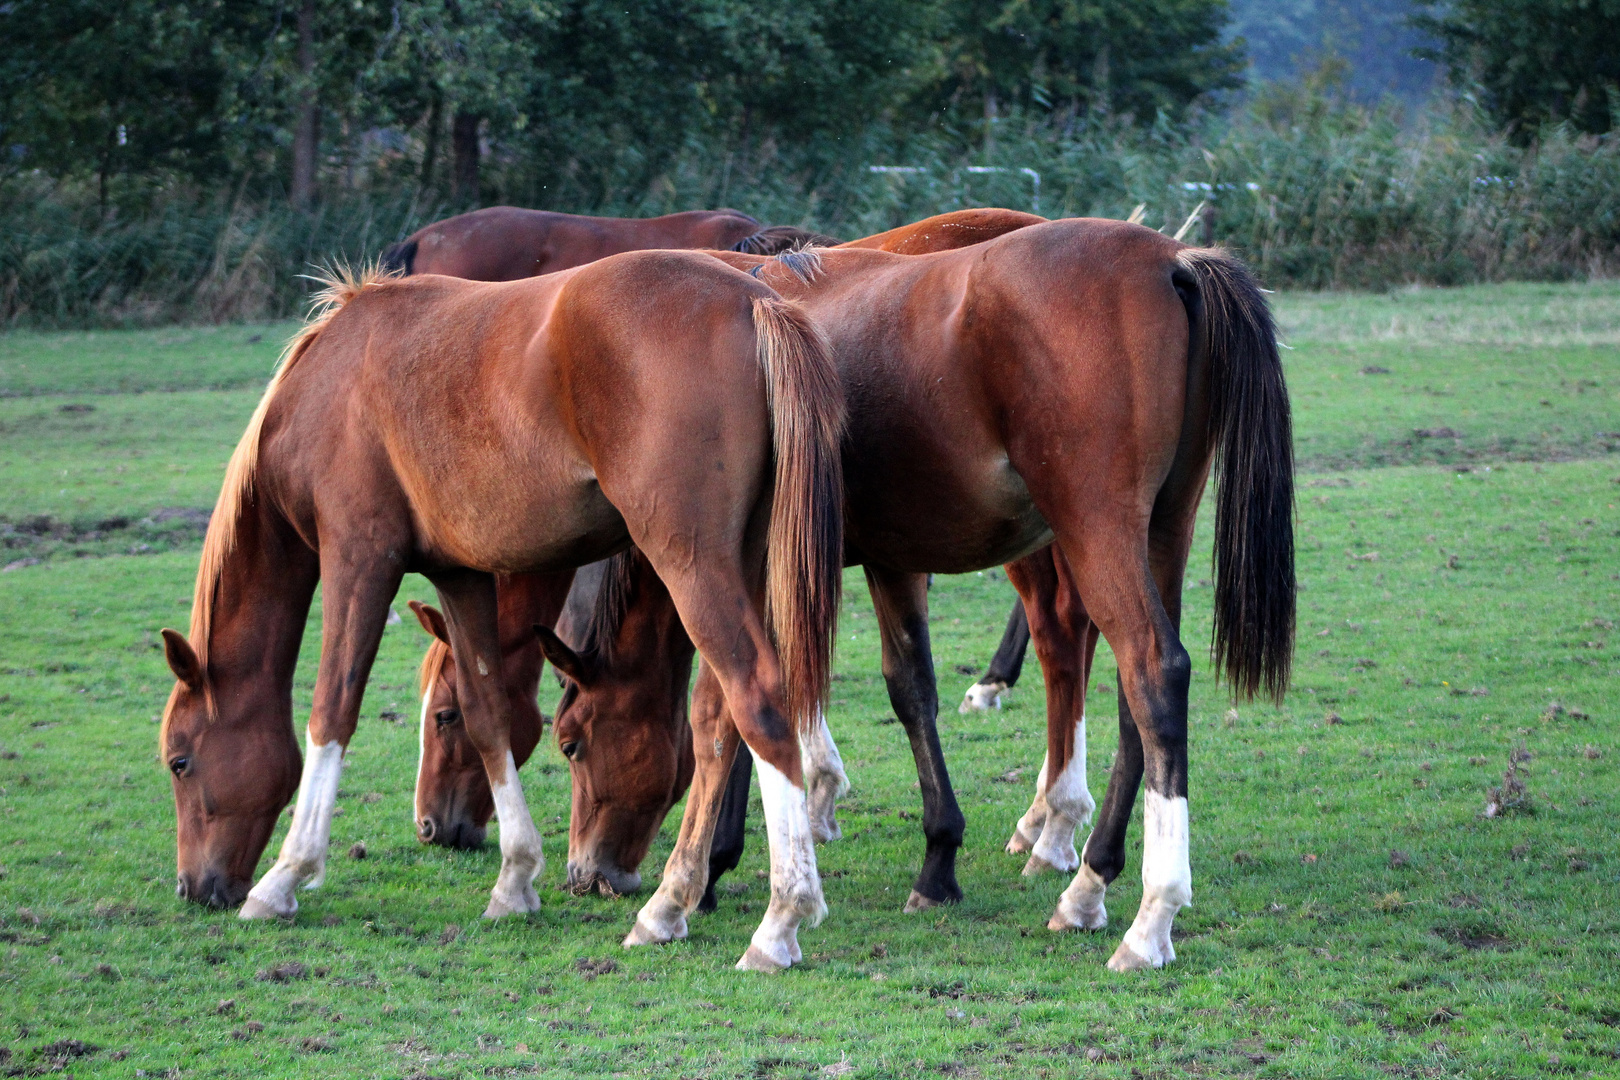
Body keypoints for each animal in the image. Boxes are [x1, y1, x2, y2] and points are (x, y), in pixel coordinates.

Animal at [159, 250, 855, 971]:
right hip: (742, 564)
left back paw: (780, 921)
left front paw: (284, 878)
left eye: (179, 761)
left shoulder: (359, 558)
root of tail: (752, 300)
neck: (325, 383)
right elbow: (489, 715)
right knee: (718, 723)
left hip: (690, 562)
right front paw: (515, 880)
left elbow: (332, 711)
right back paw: (665, 909)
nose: (194, 887)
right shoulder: (459, 574)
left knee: (761, 703)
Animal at [537, 223, 1296, 977]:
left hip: (1098, 532)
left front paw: (725, 871)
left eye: (570, 742)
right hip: (1163, 531)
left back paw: (1146, 916)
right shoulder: (877, 561)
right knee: (1133, 693)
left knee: (1149, 671)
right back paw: (1088, 878)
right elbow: (878, 691)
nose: (589, 874)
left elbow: (807, 701)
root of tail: (1171, 260)